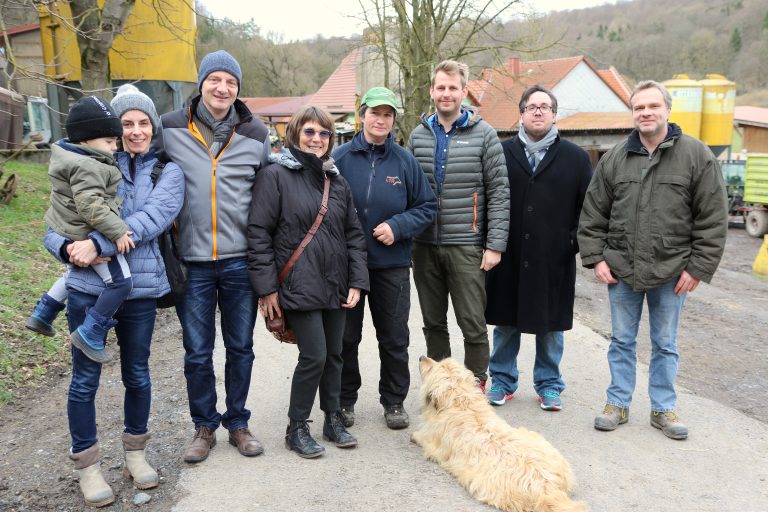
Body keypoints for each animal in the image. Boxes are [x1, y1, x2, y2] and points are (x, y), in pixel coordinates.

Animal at [414, 356, 588, 512]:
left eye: (432, 368)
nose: (422, 357)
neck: (462, 403)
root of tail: (547, 487)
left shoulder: (432, 441)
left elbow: (421, 438)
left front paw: (414, 435)